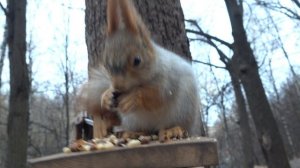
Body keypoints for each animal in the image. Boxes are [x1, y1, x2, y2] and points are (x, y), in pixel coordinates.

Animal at [79, 0, 202, 140]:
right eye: (105, 63)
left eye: (137, 61)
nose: (117, 87)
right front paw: (106, 96)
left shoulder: (167, 80)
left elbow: (156, 94)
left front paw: (134, 97)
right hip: (133, 120)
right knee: (145, 131)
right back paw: (133, 133)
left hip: (184, 111)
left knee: (177, 126)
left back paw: (173, 130)